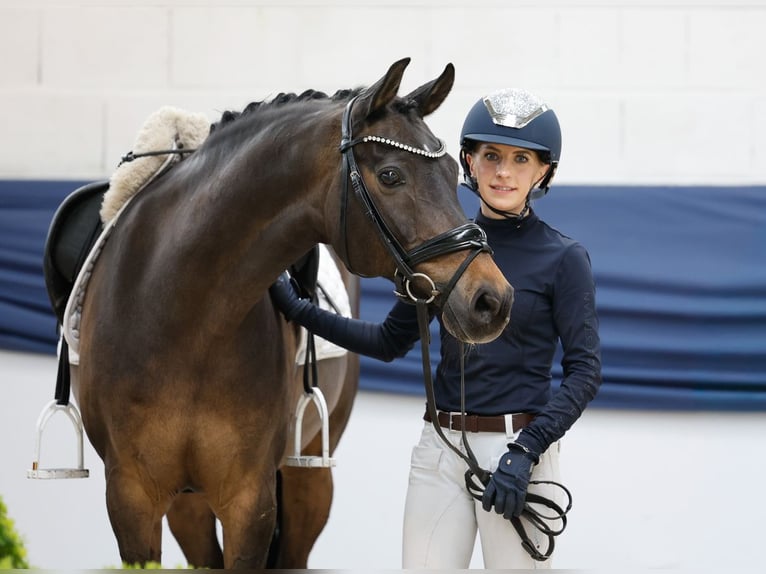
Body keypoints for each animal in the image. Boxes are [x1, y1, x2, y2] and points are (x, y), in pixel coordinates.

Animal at [66, 57, 514, 568]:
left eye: (451, 171)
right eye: (391, 175)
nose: (492, 300)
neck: (182, 316)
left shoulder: (250, 501)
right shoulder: (132, 498)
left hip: (309, 476)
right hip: (188, 502)